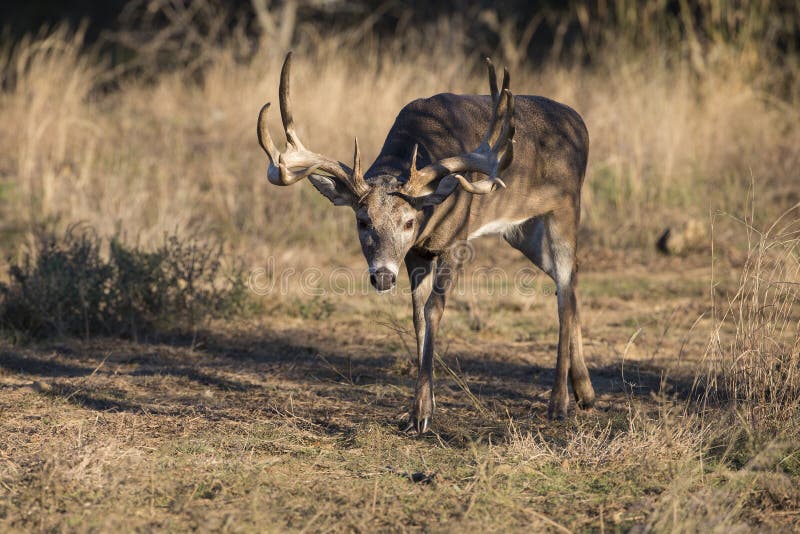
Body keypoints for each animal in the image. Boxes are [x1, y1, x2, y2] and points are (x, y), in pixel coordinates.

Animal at [256, 52, 592, 436]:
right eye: (362, 221)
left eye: (409, 221)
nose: (383, 276)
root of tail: (580, 122)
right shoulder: (416, 253)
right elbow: (417, 315)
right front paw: (421, 407)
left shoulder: (456, 240)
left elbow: (434, 309)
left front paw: (421, 414)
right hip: (522, 229)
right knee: (571, 278)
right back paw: (585, 391)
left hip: (564, 208)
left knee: (564, 289)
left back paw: (559, 404)